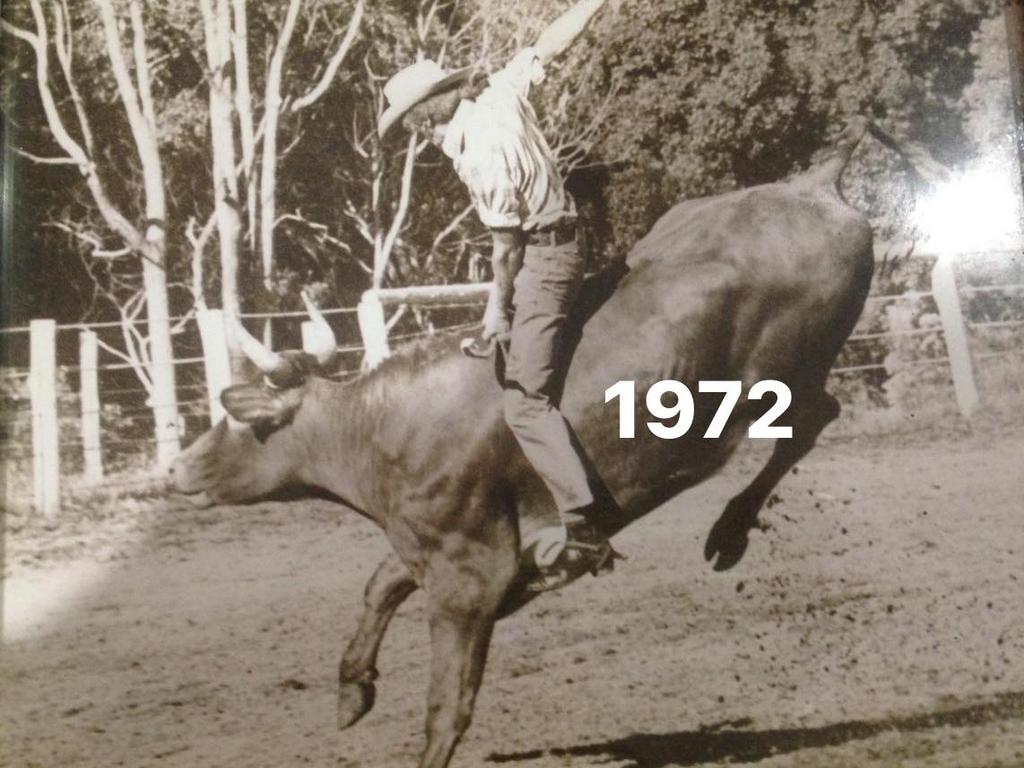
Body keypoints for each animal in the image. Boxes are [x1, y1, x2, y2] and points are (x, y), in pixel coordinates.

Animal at [169, 118, 942, 768]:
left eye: (242, 423)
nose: (178, 467)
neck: (386, 426)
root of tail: (811, 186)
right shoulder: (439, 551)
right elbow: (381, 582)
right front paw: (352, 690)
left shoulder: (469, 577)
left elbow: (448, 699)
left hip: (778, 376)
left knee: (811, 419)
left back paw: (728, 532)